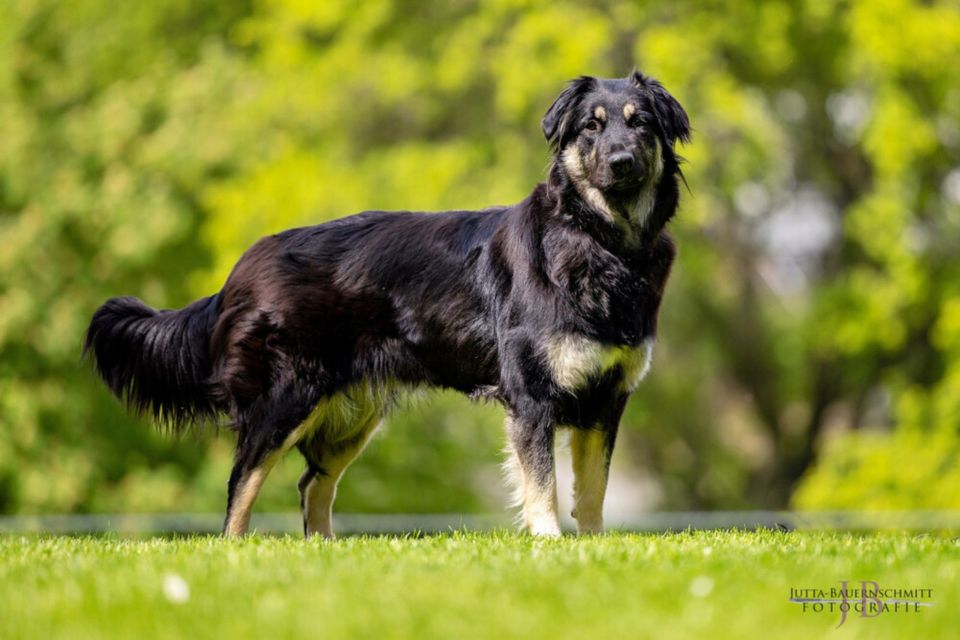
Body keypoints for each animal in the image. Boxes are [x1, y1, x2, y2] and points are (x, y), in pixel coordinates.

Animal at [86, 72, 688, 536]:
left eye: (640, 124)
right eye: (591, 126)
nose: (621, 160)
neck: (600, 242)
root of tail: (240, 270)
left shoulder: (605, 398)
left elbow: (592, 490)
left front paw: (593, 548)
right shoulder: (532, 396)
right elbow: (542, 484)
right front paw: (549, 544)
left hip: (352, 413)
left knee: (312, 485)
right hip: (284, 400)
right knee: (242, 487)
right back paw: (237, 554)